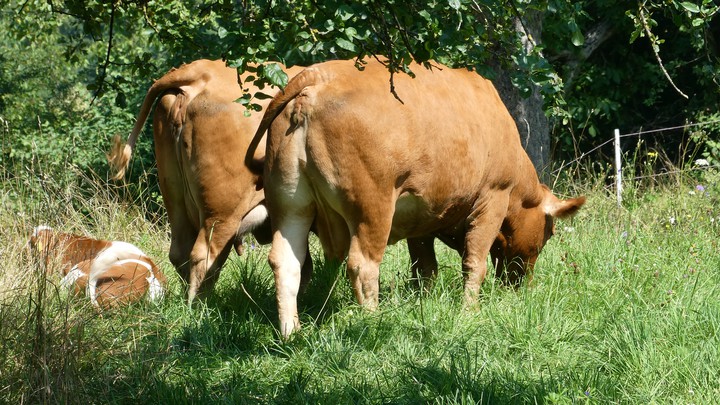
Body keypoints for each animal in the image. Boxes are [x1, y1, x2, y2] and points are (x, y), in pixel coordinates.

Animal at [246, 58, 586, 338]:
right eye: (549, 232)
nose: (521, 286)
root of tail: (317, 77)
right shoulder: (493, 196)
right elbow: (474, 262)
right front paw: (469, 311)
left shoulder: (421, 218)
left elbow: (425, 268)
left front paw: (425, 303)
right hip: (373, 206)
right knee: (362, 265)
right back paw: (372, 322)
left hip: (291, 204)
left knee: (286, 262)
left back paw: (291, 332)